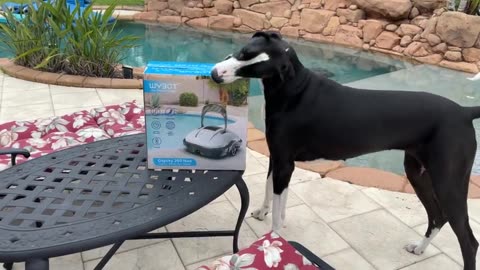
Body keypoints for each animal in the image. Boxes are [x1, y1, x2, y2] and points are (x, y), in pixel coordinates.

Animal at [212, 30, 480, 268]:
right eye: (243, 52)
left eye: (254, 67)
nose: (215, 74)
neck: (292, 89)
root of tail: (464, 112)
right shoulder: (277, 157)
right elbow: (272, 192)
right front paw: (262, 211)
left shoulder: (285, 164)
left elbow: (278, 212)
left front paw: (274, 237)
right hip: (417, 172)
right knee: (438, 216)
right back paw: (419, 247)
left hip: (449, 183)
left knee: (468, 241)